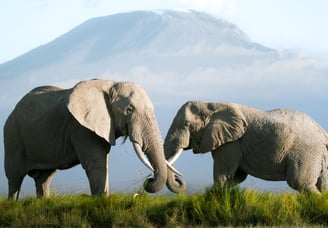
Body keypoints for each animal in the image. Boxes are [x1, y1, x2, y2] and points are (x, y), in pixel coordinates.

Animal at [3, 79, 182, 200]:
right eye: (129, 110)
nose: (148, 180)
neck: (110, 85)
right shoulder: (81, 128)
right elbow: (97, 163)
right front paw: (101, 201)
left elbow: (104, 162)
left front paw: (105, 199)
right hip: (12, 137)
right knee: (14, 177)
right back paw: (13, 203)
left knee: (44, 178)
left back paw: (44, 202)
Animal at [165, 101, 328, 192]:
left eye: (186, 124)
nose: (179, 179)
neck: (210, 104)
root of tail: (323, 133)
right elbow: (237, 177)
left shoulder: (231, 143)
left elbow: (222, 175)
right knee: (323, 185)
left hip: (306, 152)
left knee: (300, 183)